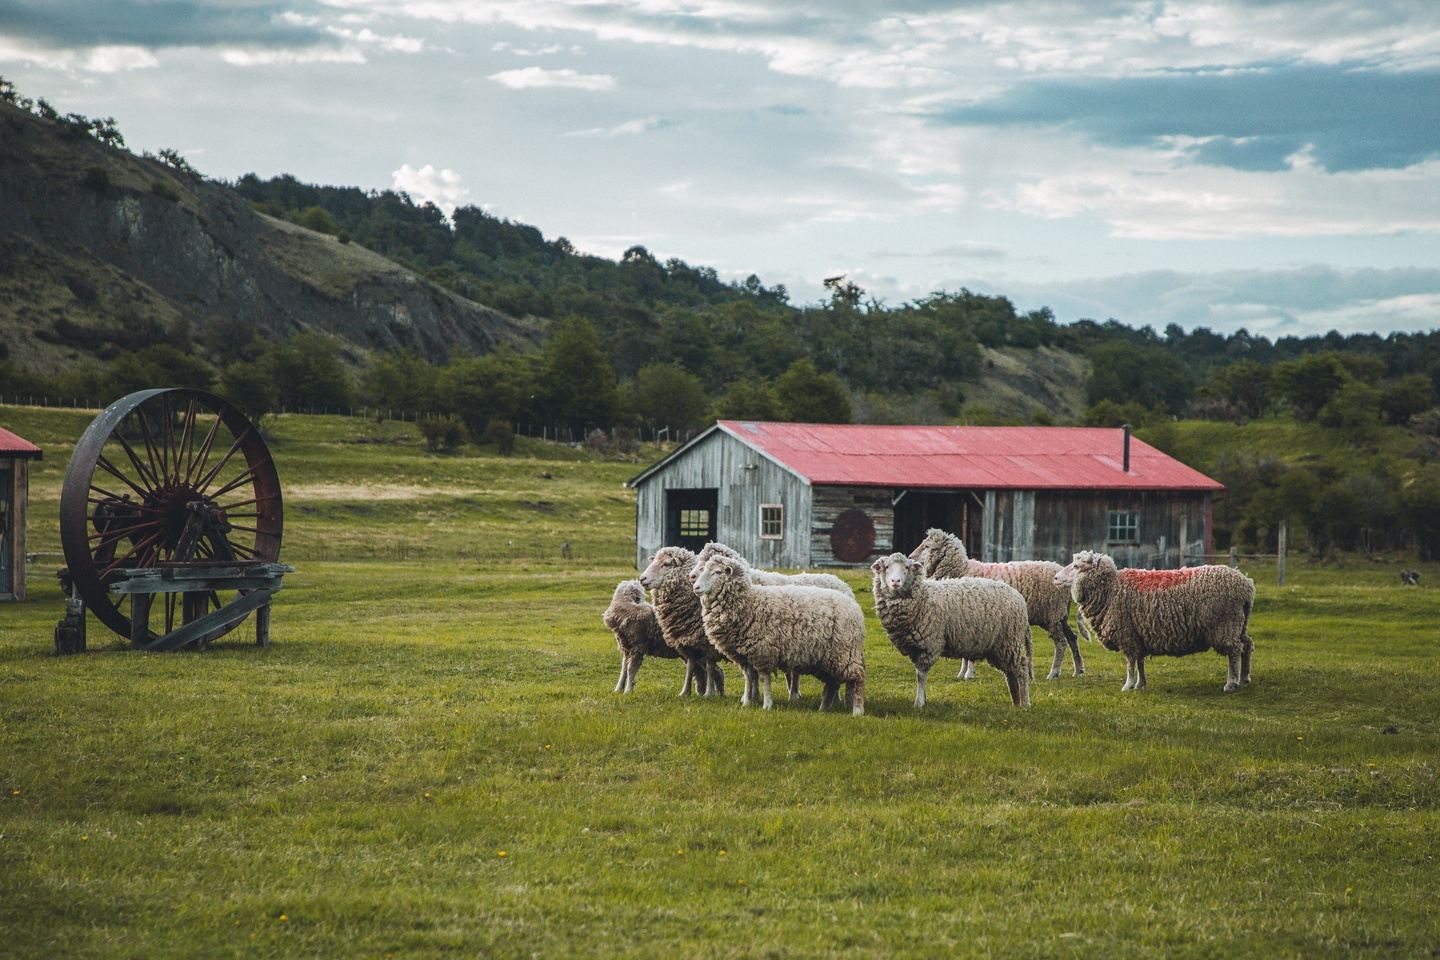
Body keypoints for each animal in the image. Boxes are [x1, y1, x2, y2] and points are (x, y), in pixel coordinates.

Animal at [642, 546, 731, 699]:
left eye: (666, 564)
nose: (642, 579)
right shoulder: (688, 640)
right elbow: (690, 666)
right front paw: (685, 692)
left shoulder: (709, 645)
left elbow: (709, 666)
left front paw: (709, 693)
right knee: (718, 672)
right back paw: (720, 693)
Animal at [694, 552, 864, 716]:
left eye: (717, 572)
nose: (696, 587)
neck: (748, 602)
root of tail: (854, 605)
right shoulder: (744, 654)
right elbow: (748, 678)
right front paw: (747, 703)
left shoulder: (763, 651)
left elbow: (764, 679)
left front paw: (767, 705)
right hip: (828, 657)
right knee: (832, 682)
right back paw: (823, 709)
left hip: (846, 652)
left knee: (857, 679)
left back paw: (857, 711)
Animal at [869, 552, 1031, 711]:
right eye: (886, 567)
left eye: (907, 568)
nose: (895, 581)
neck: (922, 598)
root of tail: (1018, 597)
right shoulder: (915, 647)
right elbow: (918, 675)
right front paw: (924, 699)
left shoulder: (928, 644)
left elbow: (921, 676)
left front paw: (919, 703)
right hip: (999, 647)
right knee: (1010, 673)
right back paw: (1015, 702)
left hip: (1010, 641)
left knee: (1022, 668)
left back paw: (1025, 703)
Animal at [910, 529, 1082, 679]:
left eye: (927, 546)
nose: (911, 557)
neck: (961, 569)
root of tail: (1061, 571)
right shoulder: (961, 617)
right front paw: (962, 673)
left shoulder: (974, 616)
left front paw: (969, 674)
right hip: (1061, 615)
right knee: (1072, 638)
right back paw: (1078, 670)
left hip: (1051, 614)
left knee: (1061, 642)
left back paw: (1054, 673)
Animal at [1054, 552, 1255, 693]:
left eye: (1076, 566)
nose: (1055, 578)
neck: (1110, 589)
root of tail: (1246, 584)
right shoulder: (1138, 634)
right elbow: (1140, 661)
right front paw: (1140, 684)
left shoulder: (1127, 633)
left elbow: (1130, 663)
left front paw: (1128, 686)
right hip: (1239, 624)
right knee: (1247, 645)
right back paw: (1245, 678)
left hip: (1224, 625)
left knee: (1234, 652)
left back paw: (1231, 683)